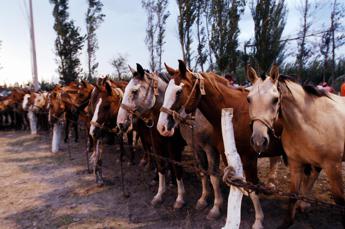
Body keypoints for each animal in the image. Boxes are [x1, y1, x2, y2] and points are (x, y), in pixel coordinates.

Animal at [117, 63, 189, 210]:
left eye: (134, 91)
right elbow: (160, 166)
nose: (120, 123)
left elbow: (177, 169)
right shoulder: (157, 146)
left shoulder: (174, 149)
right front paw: (159, 194)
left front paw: (180, 198)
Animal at [156, 60, 284, 228]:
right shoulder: (225, 155)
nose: (161, 127)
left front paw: (258, 220)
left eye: (178, 91)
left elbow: (252, 188)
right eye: (166, 90)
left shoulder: (248, 159)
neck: (235, 114)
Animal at [246, 65, 342, 228]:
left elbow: (340, 200)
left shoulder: (333, 166)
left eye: (275, 99)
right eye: (248, 99)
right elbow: (292, 197)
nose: (259, 141)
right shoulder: (296, 164)